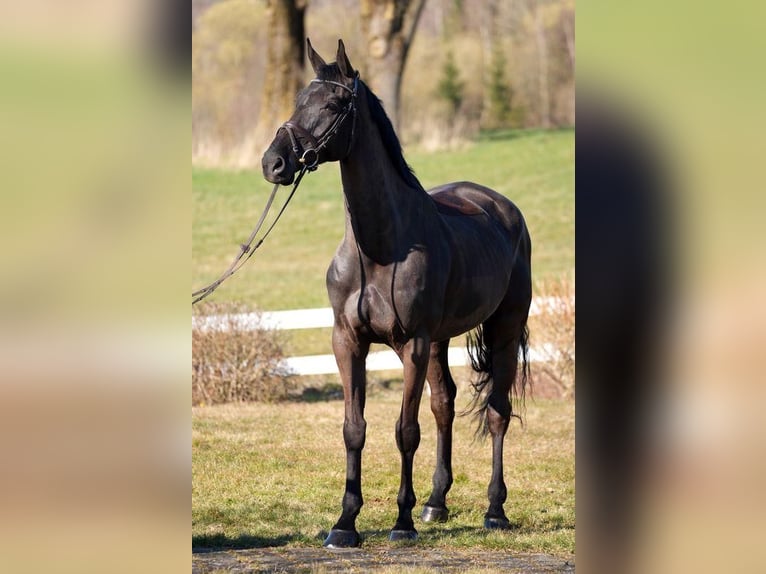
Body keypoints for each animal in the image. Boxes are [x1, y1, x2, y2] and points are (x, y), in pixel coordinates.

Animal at [262, 39, 532, 548]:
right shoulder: (348, 342)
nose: (274, 163)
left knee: (497, 414)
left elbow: (405, 431)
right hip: (442, 341)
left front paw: (401, 523)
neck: (382, 248)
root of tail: (502, 208)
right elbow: (354, 428)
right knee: (445, 405)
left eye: (332, 105)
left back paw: (494, 511)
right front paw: (345, 524)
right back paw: (436, 503)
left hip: (501, 333)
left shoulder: (413, 344)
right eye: (298, 101)